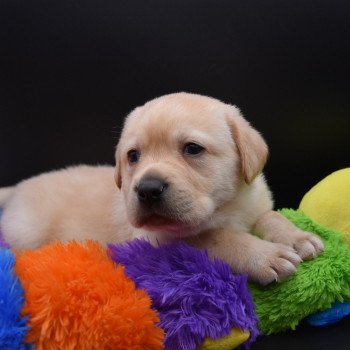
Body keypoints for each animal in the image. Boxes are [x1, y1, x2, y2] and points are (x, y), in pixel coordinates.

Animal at [0, 92, 322, 284]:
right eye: (133, 156)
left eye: (192, 149)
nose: (147, 189)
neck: (225, 208)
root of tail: (17, 188)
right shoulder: (158, 240)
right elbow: (214, 236)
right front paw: (264, 255)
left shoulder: (254, 204)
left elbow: (270, 216)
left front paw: (298, 237)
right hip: (27, 231)